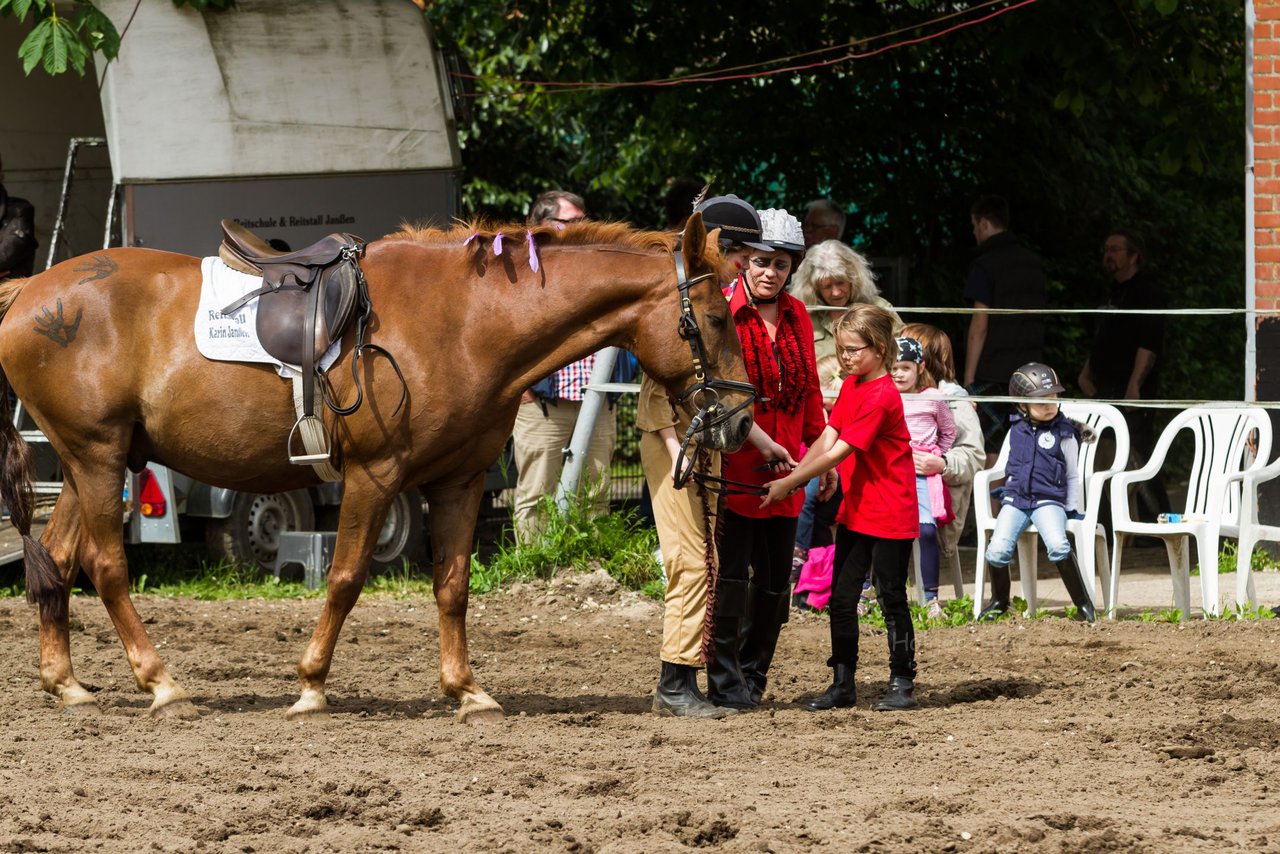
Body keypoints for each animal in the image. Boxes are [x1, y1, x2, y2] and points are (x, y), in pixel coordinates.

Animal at [0, 212, 747, 722]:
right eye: (715, 317)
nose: (740, 421)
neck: (464, 322)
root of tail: (34, 289)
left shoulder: (458, 481)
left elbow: (452, 586)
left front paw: (467, 690)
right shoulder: (375, 476)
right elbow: (345, 578)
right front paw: (310, 686)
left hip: (89, 463)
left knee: (58, 561)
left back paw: (67, 684)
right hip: (98, 458)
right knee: (106, 566)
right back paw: (160, 682)